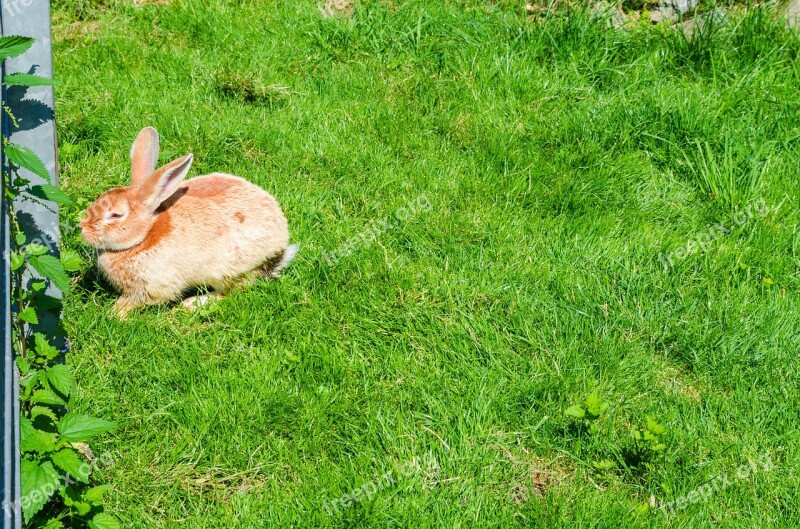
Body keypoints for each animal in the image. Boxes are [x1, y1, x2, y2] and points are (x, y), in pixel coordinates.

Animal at [79, 126, 298, 316]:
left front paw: (116, 313)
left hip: (227, 270)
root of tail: (280, 243)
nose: (82, 228)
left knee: (231, 292)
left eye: (116, 215)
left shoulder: (153, 287)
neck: (144, 237)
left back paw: (192, 303)